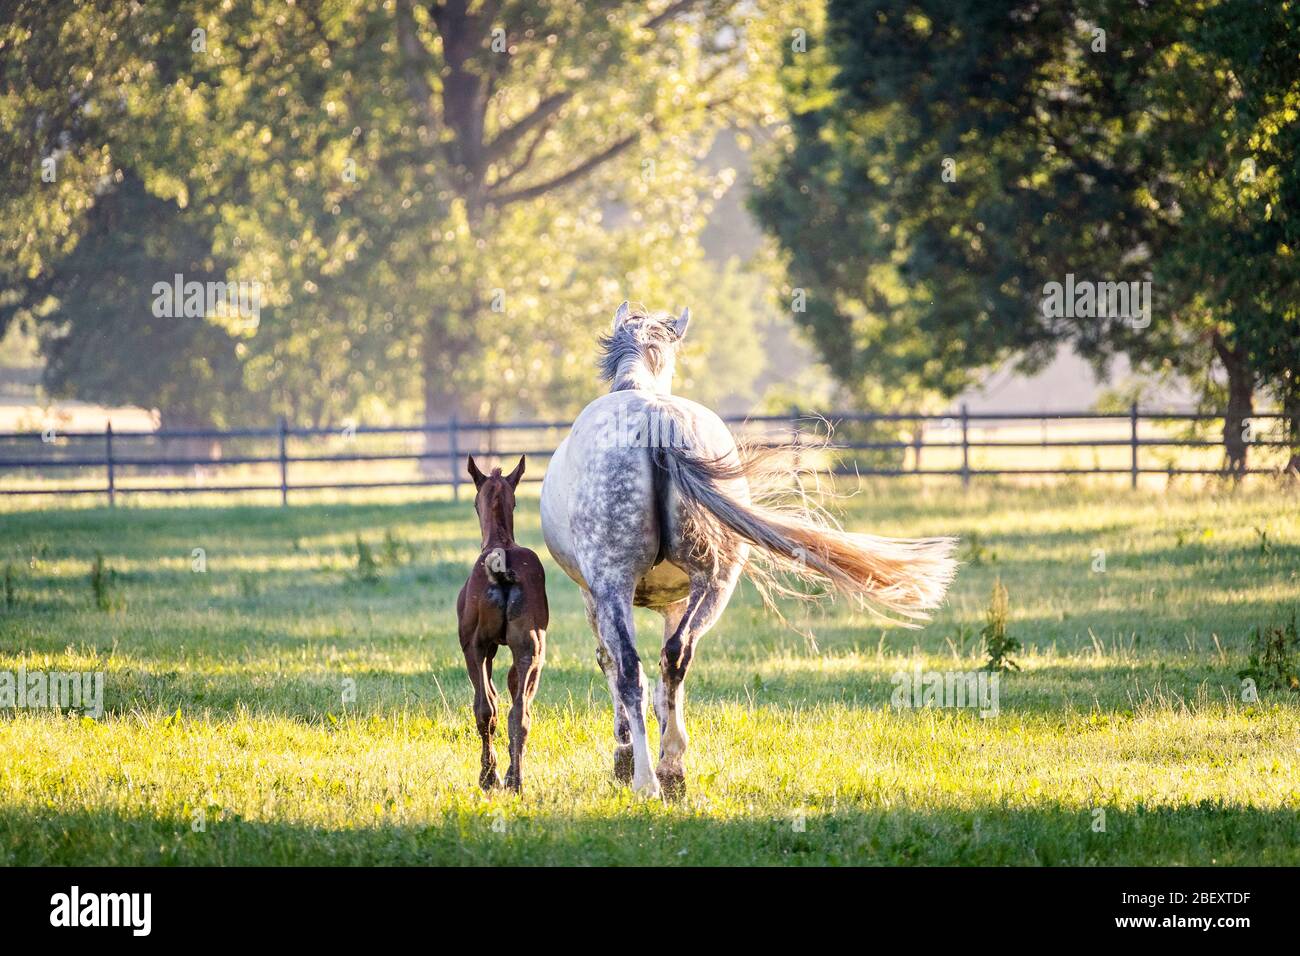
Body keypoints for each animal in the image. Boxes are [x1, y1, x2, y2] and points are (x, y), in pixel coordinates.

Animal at [455, 455, 549, 792]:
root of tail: (502, 570)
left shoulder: (483, 647)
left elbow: (490, 700)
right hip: (531, 648)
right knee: (520, 713)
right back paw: (515, 779)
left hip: (475, 646)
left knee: (486, 709)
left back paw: (489, 776)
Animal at [540, 301, 957, 798]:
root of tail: (656, 419)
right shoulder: (673, 601)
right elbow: (666, 681)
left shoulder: (594, 596)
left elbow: (615, 667)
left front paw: (623, 758)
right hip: (714, 582)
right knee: (677, 657)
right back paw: (673, 769)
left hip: (614, 582)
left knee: (628, 669)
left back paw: (645, 780)